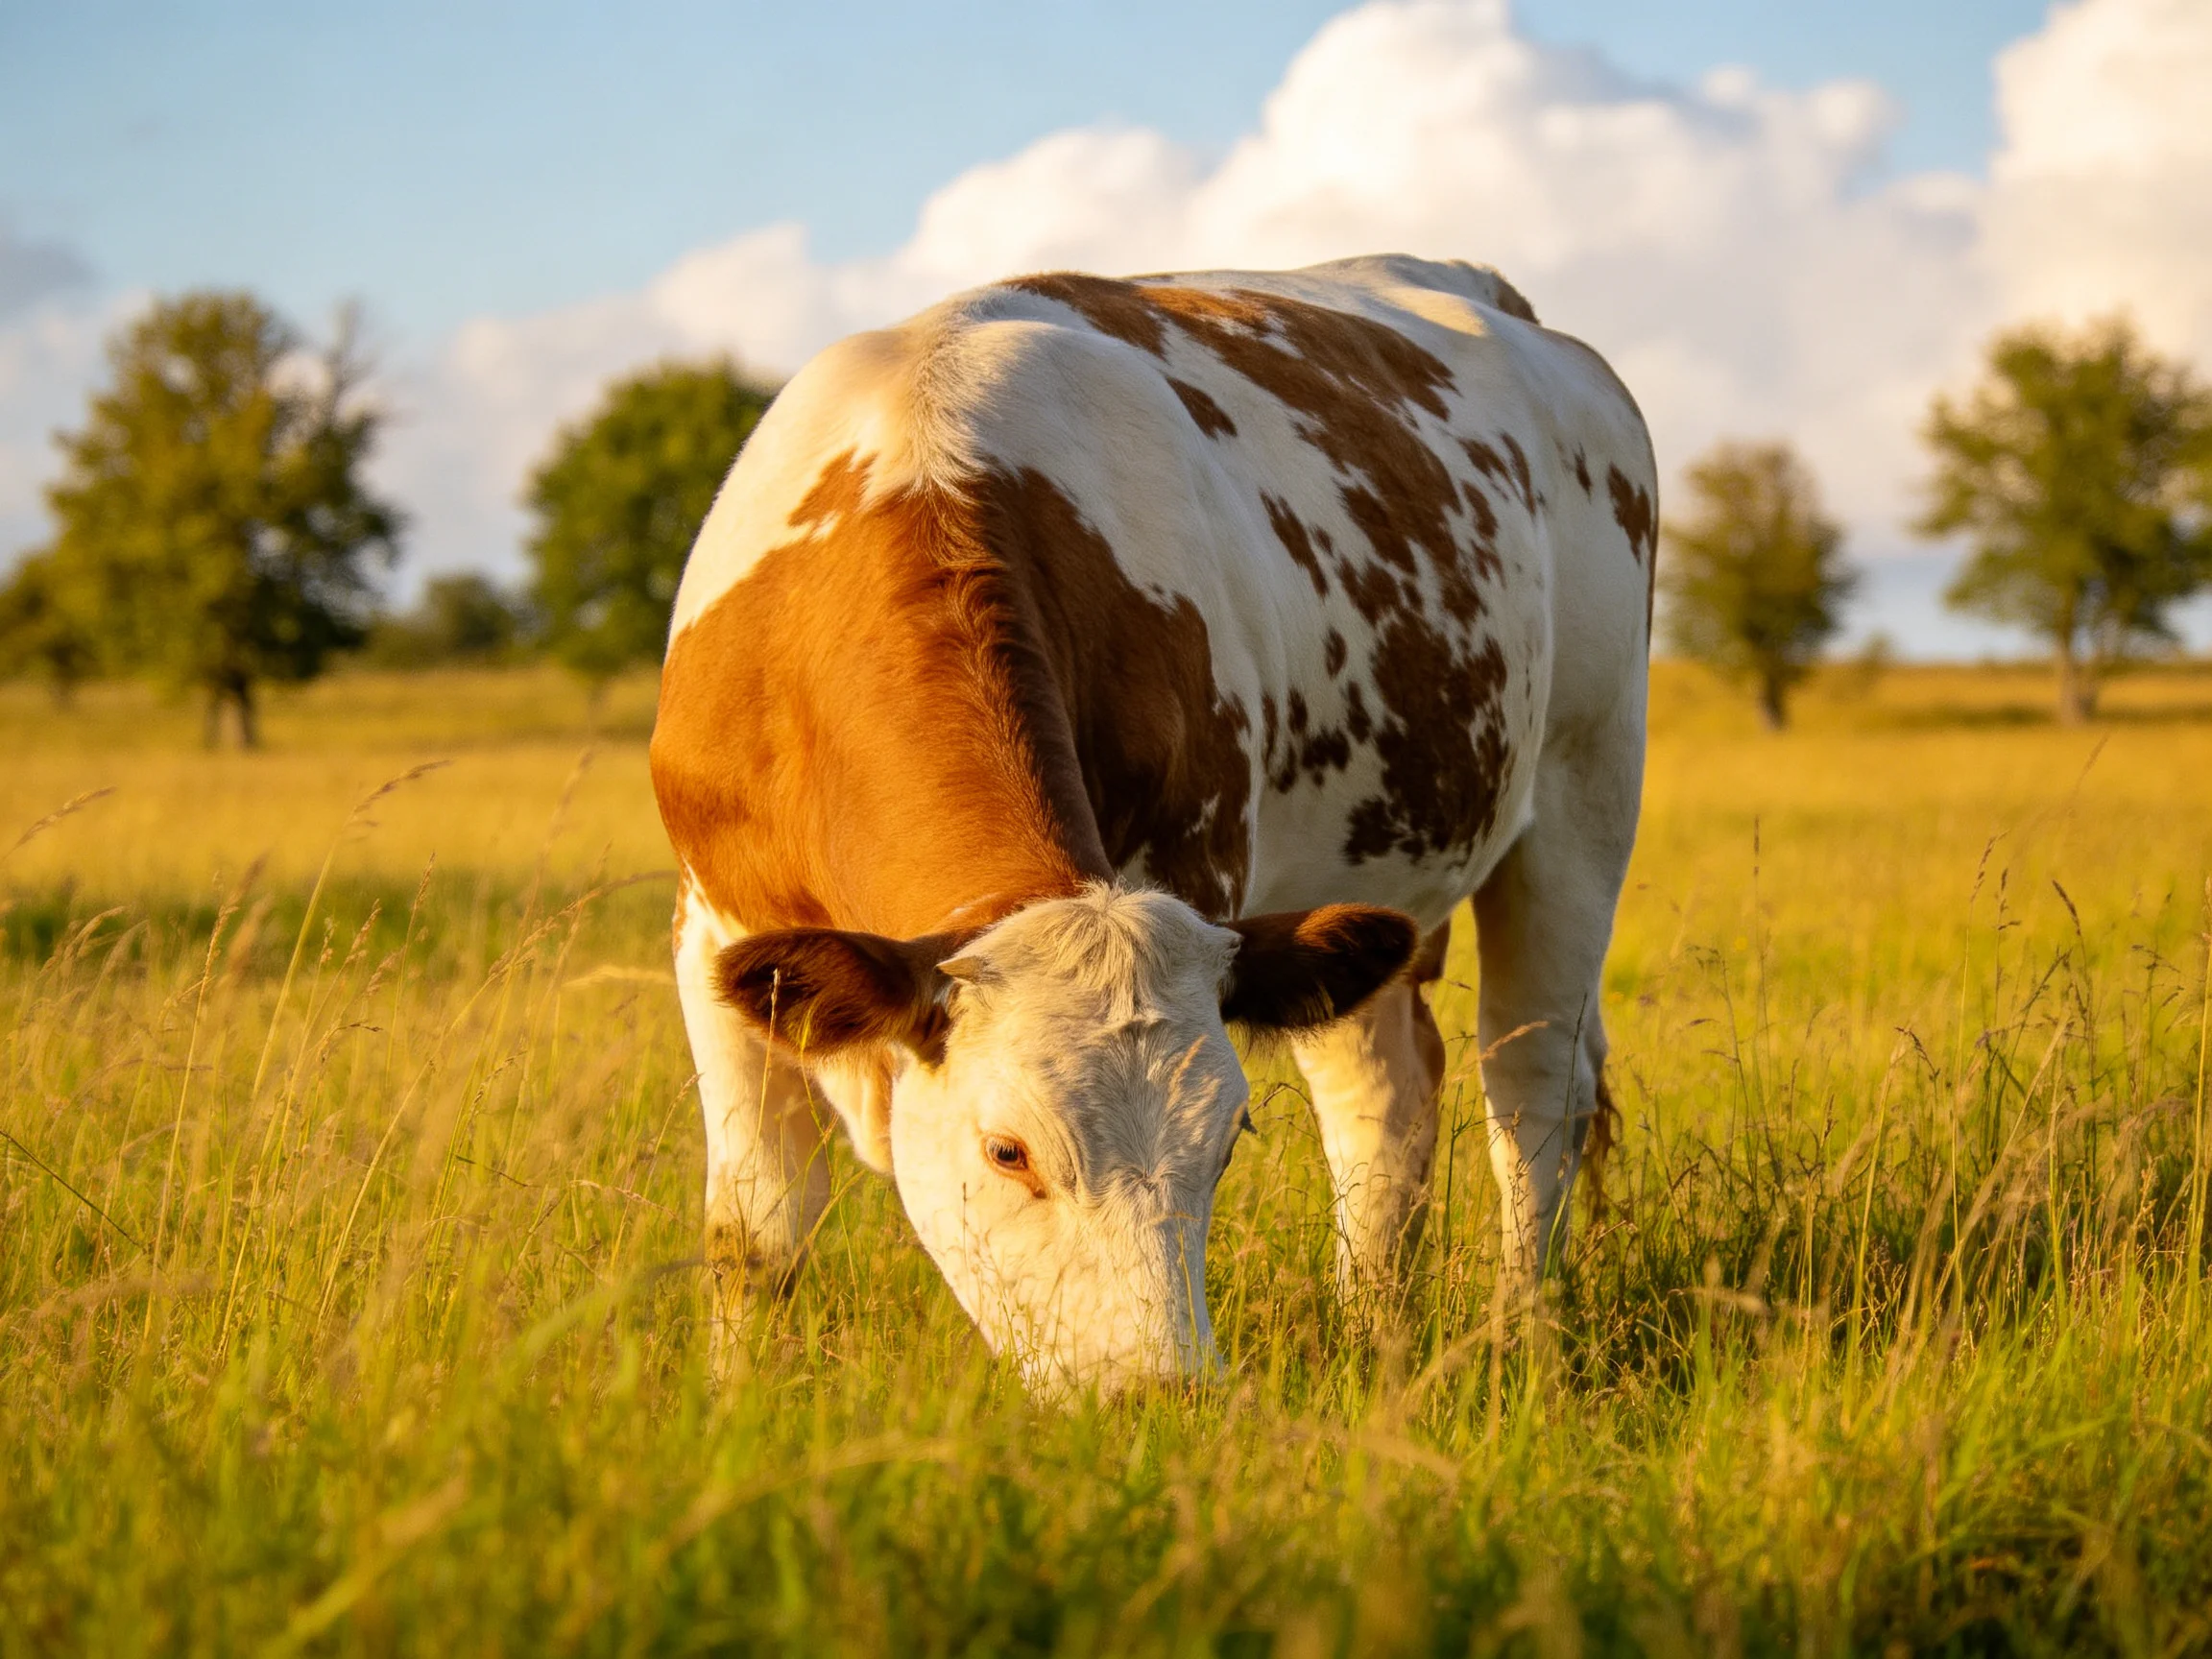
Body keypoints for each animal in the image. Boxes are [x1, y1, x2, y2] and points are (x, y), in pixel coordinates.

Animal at [649, 253, 1655, 1391]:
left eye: (1225, 1142)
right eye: (1007, 1151)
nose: (1154, 1392)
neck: (918, 462)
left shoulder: (1202, 874)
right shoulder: (712, 929)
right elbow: (756, 1234)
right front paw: (734, 1400)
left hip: (1585, 788)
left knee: (1533, 1088)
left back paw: (1526, 1335)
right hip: (1356, 894)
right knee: (1385, 1098)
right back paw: (1374, 1337)